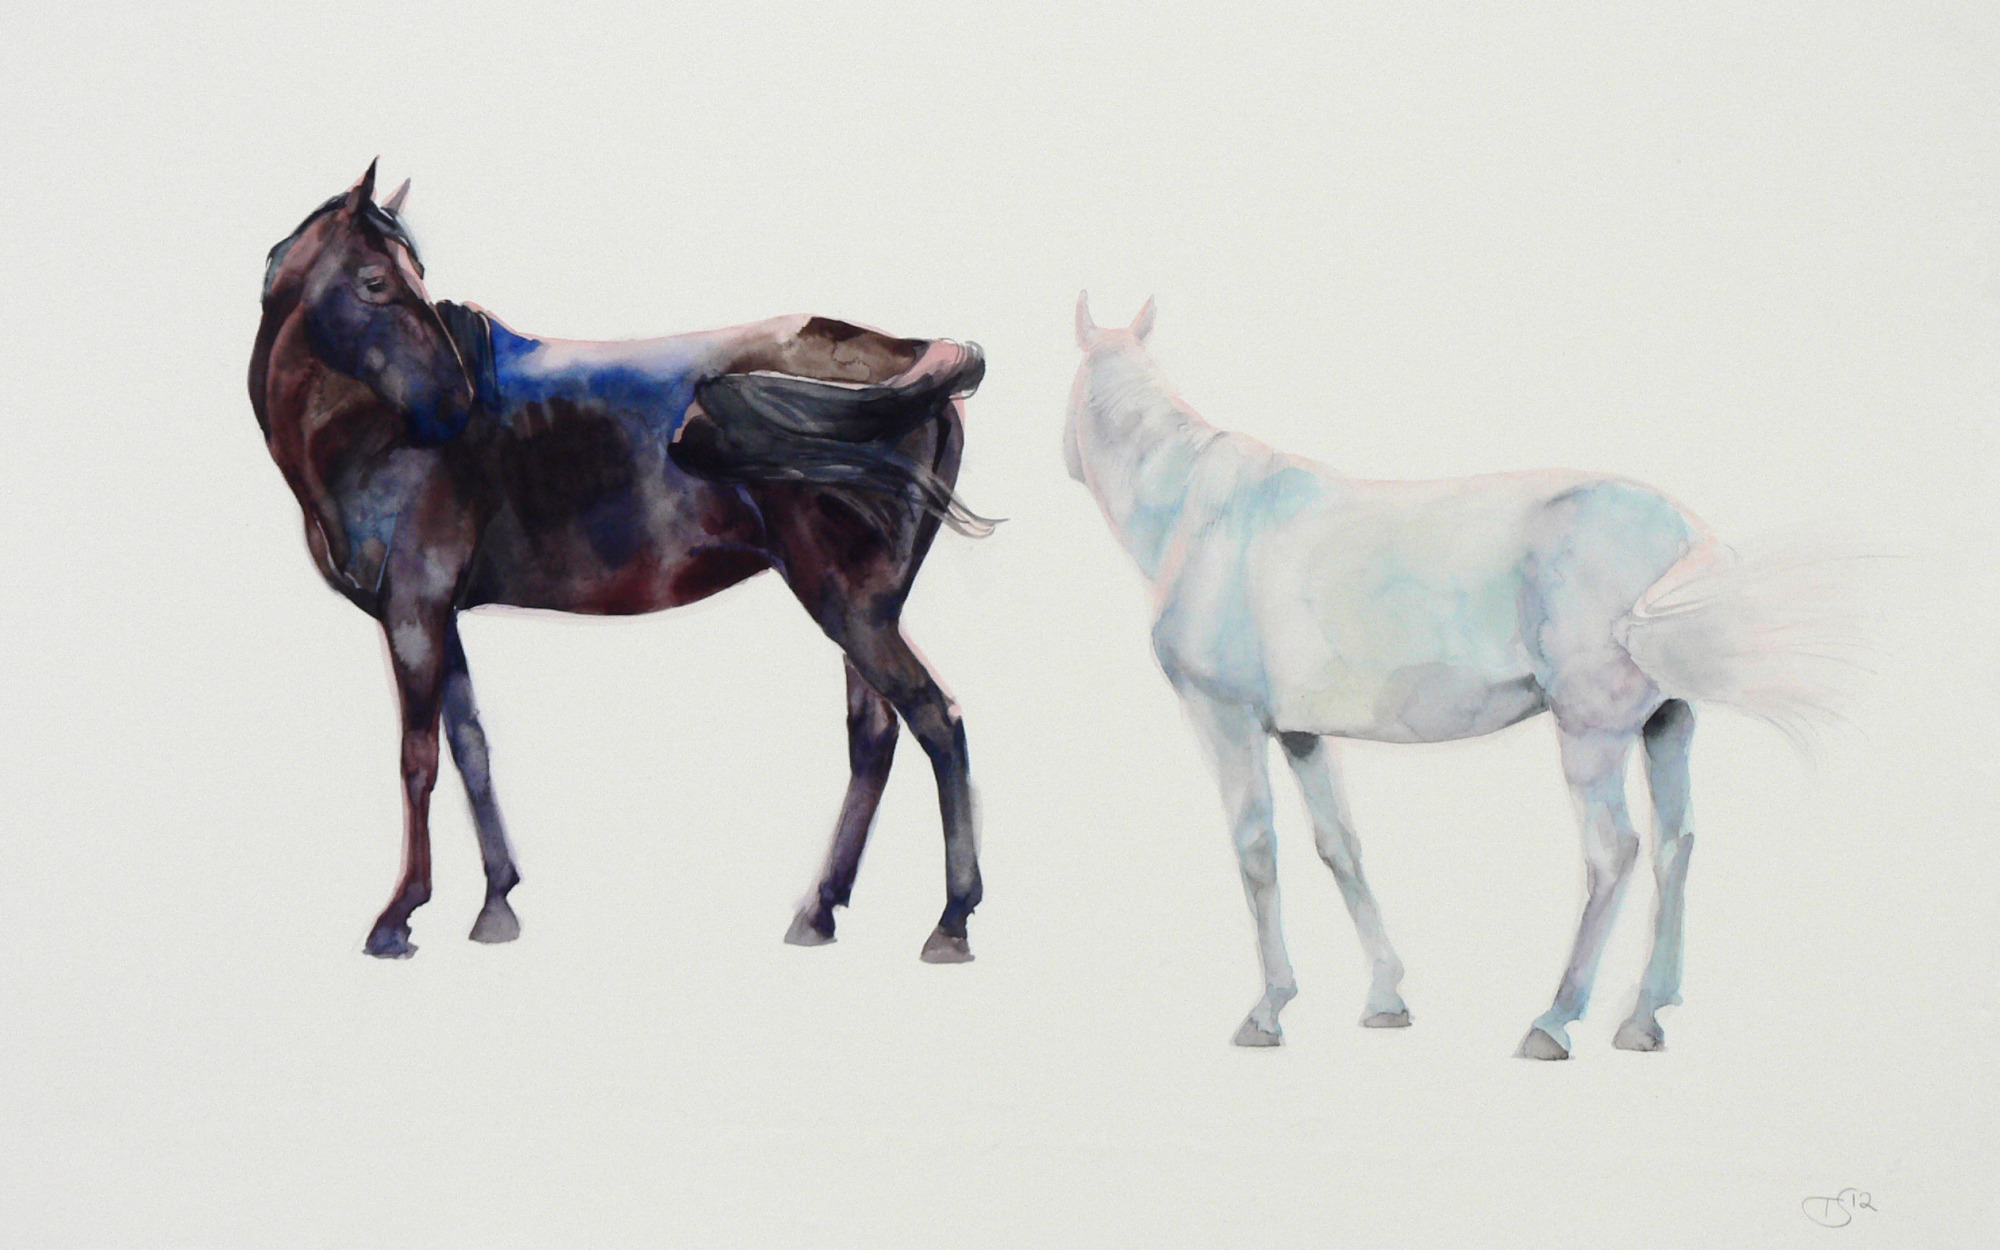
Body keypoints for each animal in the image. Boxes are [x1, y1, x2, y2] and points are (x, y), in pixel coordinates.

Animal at [249, 162, 992, 963]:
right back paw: (819, 912)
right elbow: (470, 745)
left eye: (414, 276)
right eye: (376, 282)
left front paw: (399, 917)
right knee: (875, 736)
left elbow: (419, 758)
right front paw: (496, 903)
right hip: (859, 609)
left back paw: (951, 920)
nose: (459, 403)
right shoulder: (437, 617)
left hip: (850, 608)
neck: (371, 434)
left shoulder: (413, 613)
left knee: (935, 720)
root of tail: (911, 353)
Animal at [1065, 293, 1858, 1057]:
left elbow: (1257, 851)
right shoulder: (1301, 733)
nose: (1069, 463)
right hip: (1668, 723)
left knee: (1614, 852)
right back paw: (1643, 1020)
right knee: (1675, 845)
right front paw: (1385, 998)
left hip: (1593, 733)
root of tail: (1689, 534)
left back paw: (1554, 1021)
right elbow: (1339, 846)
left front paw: (1269, 1010)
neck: (1199, 511)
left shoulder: (1225, 719)